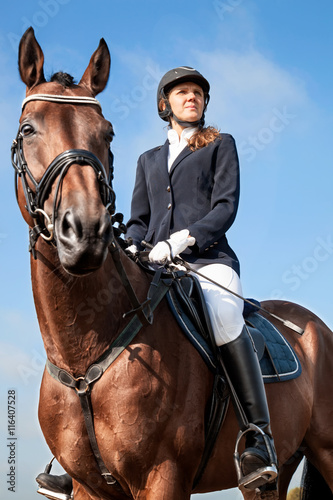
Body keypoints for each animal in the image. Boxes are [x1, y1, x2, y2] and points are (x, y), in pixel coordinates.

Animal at [12, 28, 332, 500]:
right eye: (28, 128)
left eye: (108, 134)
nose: (85, 231)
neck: (82, 356)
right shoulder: (90, 487)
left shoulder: (163, 476)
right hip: (277, 471)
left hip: (327, 448)